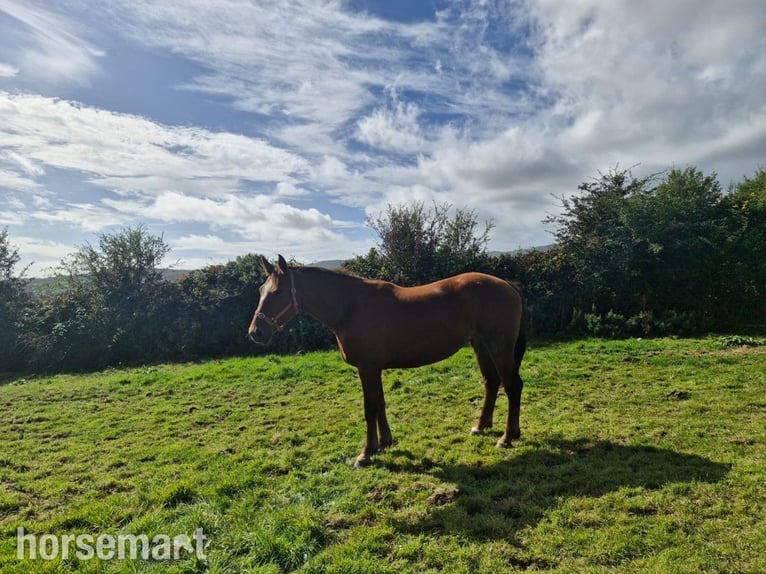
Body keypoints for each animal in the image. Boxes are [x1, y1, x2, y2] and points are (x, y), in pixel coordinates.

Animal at [248, 255, 528, 468]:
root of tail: (508, 285)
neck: (351, 307)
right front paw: (385, 443)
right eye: (261, 290)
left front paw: (366, 453)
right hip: (480, 345)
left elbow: (370, 407)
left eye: (277, 292)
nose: (255, 332)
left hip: (499, 347)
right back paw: (481, 426)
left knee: (512, 386)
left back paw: (507, 437)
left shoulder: (367, 368)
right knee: (491, 382)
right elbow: (380, 403)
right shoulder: (374, 369)